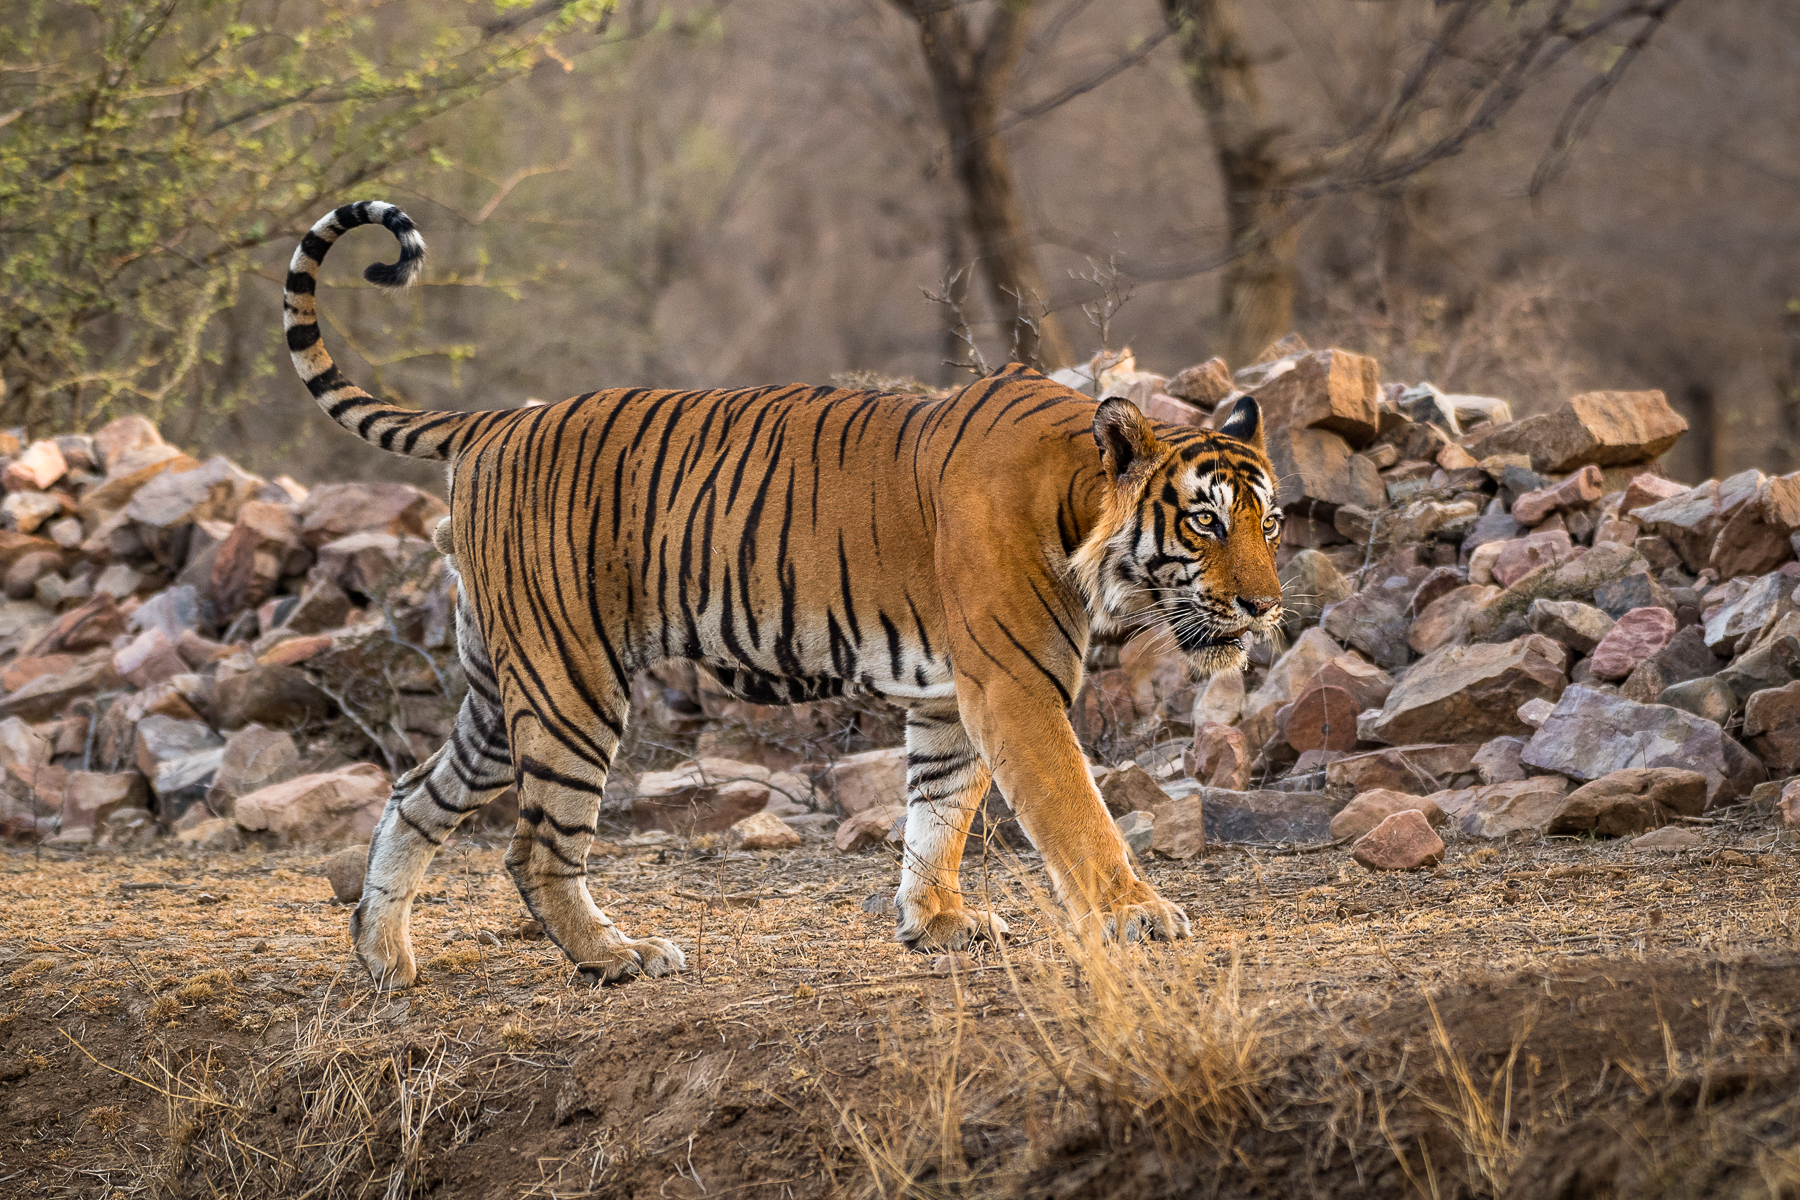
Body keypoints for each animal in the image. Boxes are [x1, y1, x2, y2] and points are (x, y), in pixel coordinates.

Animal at [284, 199, 1281, 985]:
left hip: (502, 689)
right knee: (534, 847)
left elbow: (938, 811)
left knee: (415, 794)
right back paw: (617, 957)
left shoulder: (953, 696)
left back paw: (383, 956)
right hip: (571, 681)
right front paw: (1136, 913)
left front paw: (937, 923)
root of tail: (494, 420)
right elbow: (1075, 811)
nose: (1267, 607)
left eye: (1268, 525)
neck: (1076, 508)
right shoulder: (1014, 685)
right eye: (1204, 522)